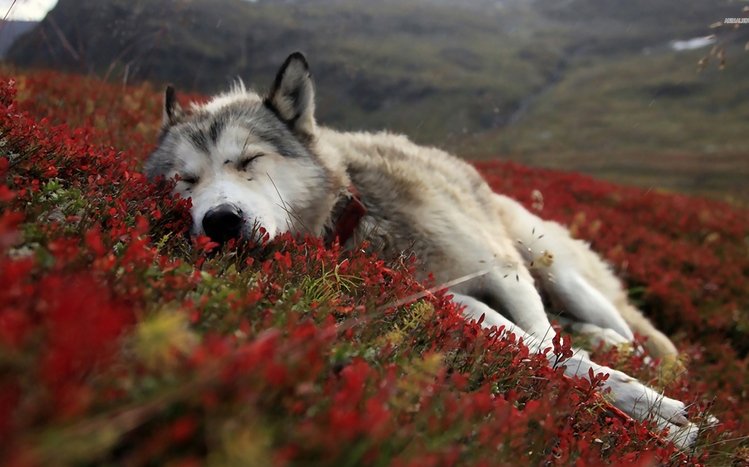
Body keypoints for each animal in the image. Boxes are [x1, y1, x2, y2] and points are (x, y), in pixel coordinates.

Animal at [145, 52, 700, 447]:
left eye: (249, 160)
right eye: (185, 181)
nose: (220, 221)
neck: (360, 212)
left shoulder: (504, 272)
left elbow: (549, 345)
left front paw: (657, 411)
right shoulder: (449, 299)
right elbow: (544, 353)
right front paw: (655, 420)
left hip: (550, 265)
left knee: (637, 335)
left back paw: (631, 350)